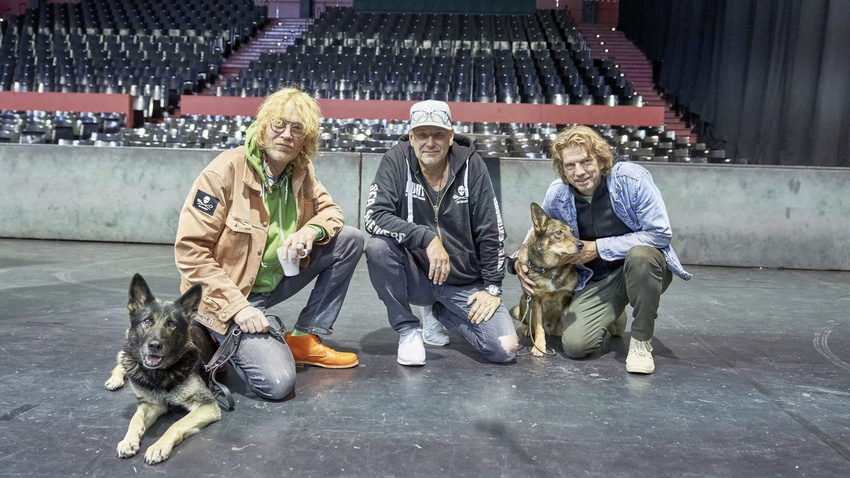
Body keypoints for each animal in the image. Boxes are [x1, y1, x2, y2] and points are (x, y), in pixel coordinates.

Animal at [103, 274, 219, 464]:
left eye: (171, 324)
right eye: (147, 321)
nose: (155, 346)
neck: (158, 374)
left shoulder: (207, 405)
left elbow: (176, 424)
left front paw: (159, 446)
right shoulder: (150, 404)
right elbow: (135, 419)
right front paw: (128, 440)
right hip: (128, 353)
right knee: (122, 361)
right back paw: (116, 378)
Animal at [510, 204, 584, 356]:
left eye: (572, 232)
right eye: (559, 232)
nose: (582, 245)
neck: (549, 269)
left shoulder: (568, 296)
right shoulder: (535, 299)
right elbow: (539, 327)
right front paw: (539, 347)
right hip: (524, 299)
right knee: (526, 320)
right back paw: (527, 329)